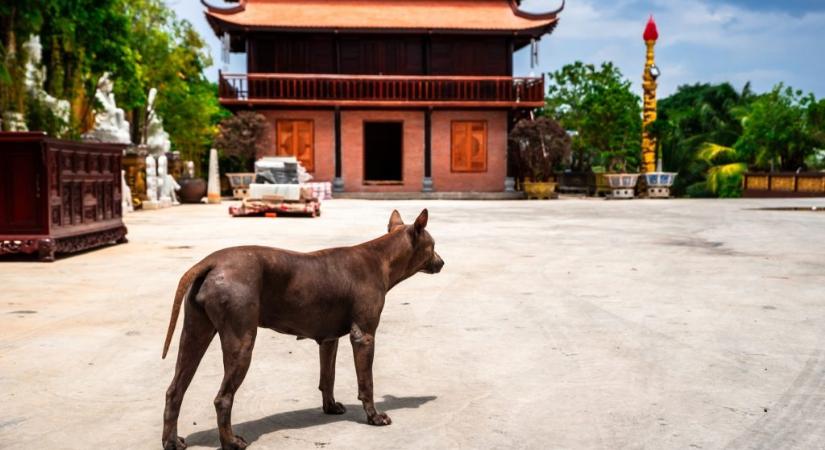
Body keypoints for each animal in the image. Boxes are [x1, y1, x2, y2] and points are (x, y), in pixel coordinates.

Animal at [162, 209, 444, 448]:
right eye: (433, 246)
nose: (442, 262)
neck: (381, 258)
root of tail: (212, 262)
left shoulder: (329, 339)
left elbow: (327, 377)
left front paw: (330, 407)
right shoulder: (364, 336)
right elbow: (367, 383)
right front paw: (374, 417)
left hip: (194, 335)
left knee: (175, 390)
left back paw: (172, 441)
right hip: (241, 342)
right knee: (223, 398)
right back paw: (231, 442)